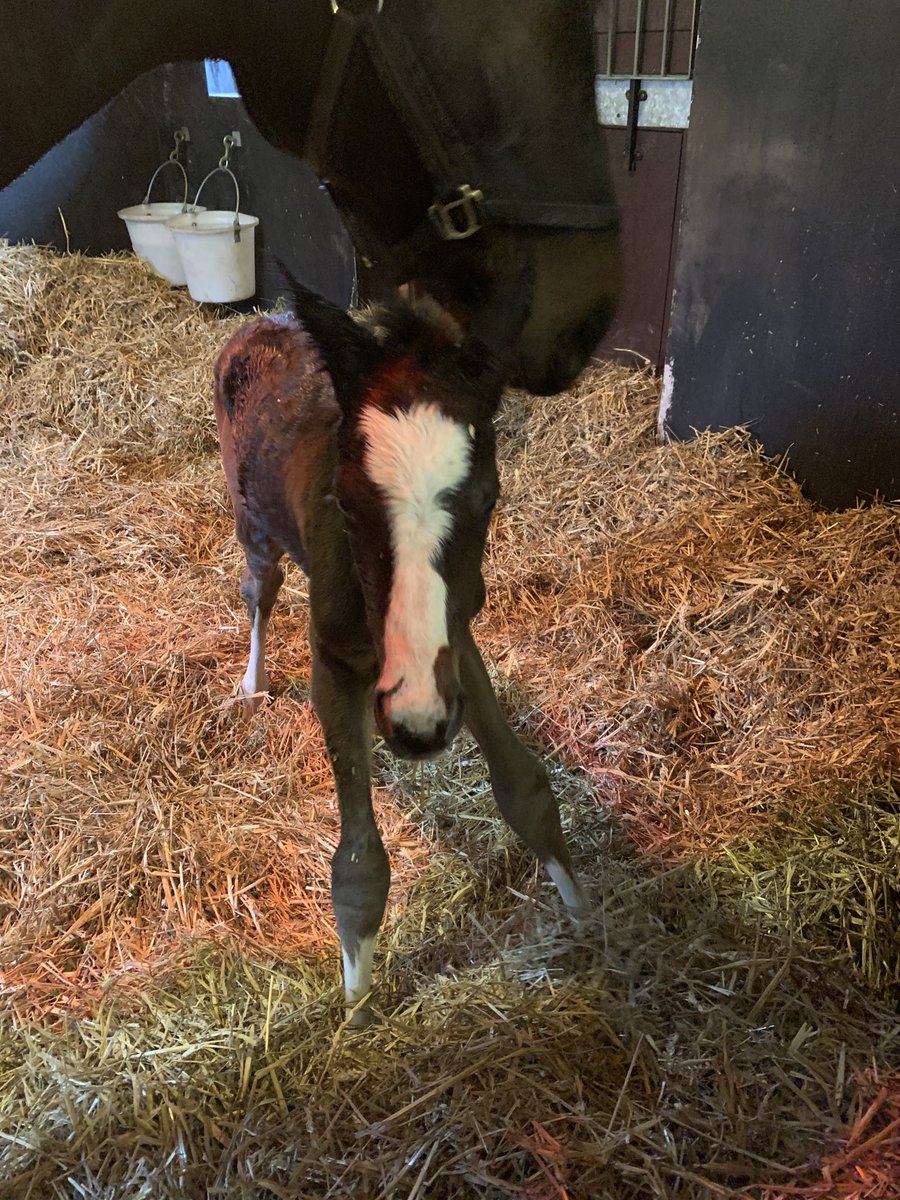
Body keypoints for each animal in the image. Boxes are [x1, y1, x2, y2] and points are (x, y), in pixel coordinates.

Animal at [213, 285, 586, 1024]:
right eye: (347, 499)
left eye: (487, 496)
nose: (417, 729)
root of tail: (262, 320)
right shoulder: (333, 664)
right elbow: (358, 862)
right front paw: (356, 1010)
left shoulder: (456, 641)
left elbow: (524, 789)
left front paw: (592, 916)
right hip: (253, 523)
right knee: (258, 589)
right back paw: (251, 682)